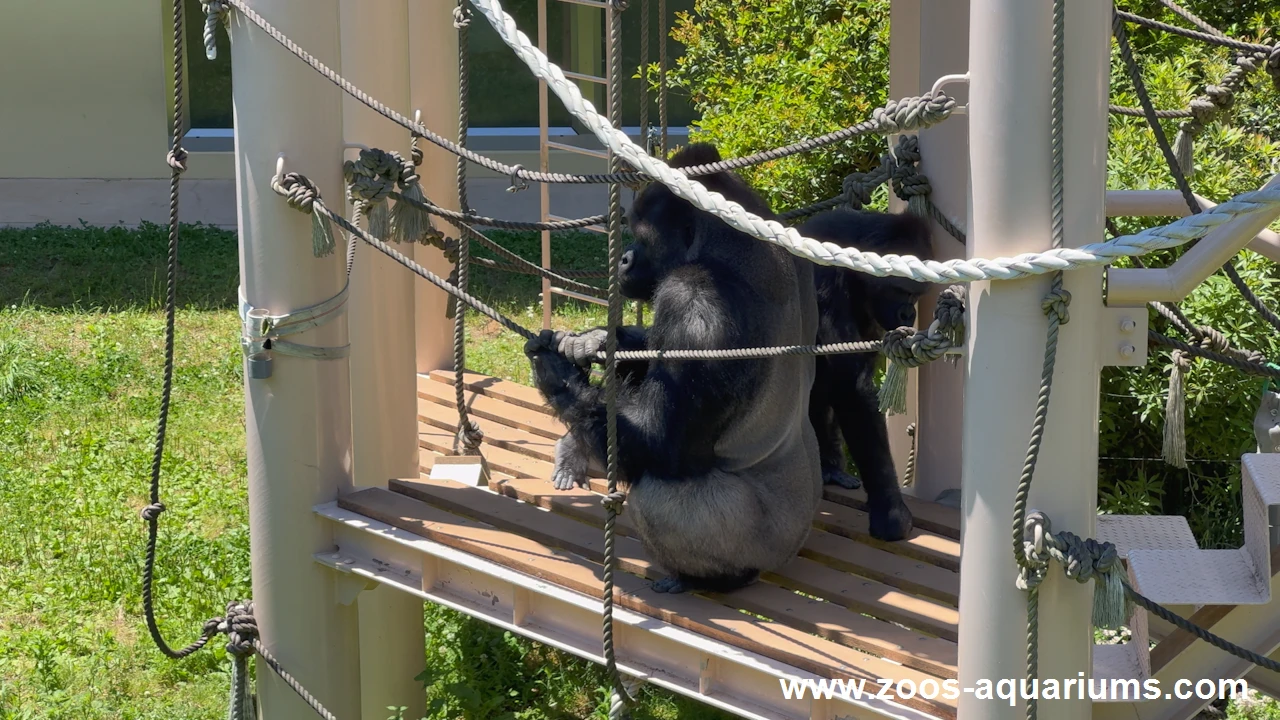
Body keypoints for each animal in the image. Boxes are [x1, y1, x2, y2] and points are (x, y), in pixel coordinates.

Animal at [524, 141, 824, 594]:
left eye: (643, 236)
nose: (625, 259)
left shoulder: (695, 301)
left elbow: (659, 443)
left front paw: (557, 374)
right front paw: (596, 340)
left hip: (765, 547)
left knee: (657, 494)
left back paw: (713, 578)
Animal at [803, 207, 936, 538]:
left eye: (918, 294)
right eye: (901, 289)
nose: (909, 314)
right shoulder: (823, 275)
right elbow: (854, 389)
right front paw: (890, 510)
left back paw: (830, 465)